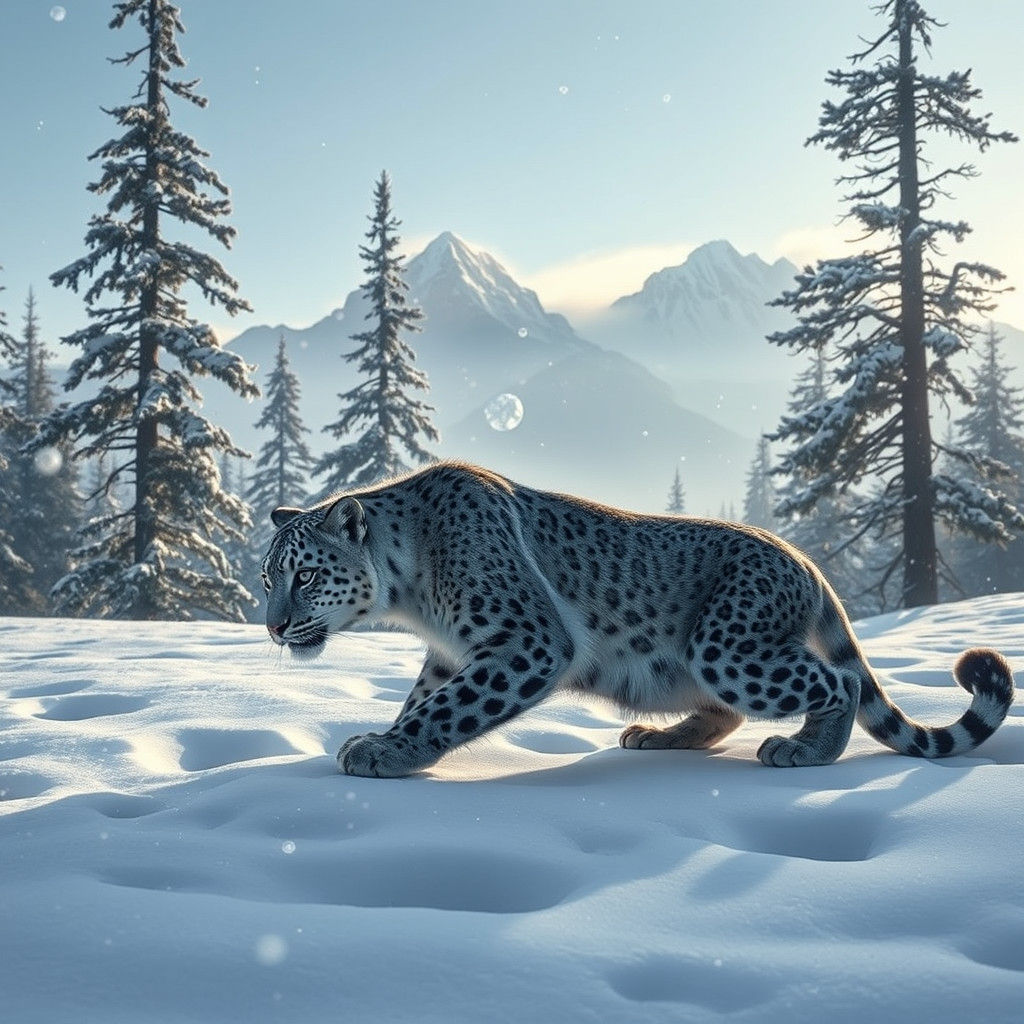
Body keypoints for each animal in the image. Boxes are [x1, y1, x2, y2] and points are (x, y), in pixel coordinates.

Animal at [261, 461, 1014, 778]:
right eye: (268, 579)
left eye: (305, 575)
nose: (272, 626)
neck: (411, 598)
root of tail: (804, 559)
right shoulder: (450, 654)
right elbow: (426, 699)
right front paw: (384, 735)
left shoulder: (525, 644)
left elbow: (449, 709)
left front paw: (385, 752)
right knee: (730, 709)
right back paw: (658, 737)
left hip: (726, 646)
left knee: (840, 683)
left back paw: (804, 750)